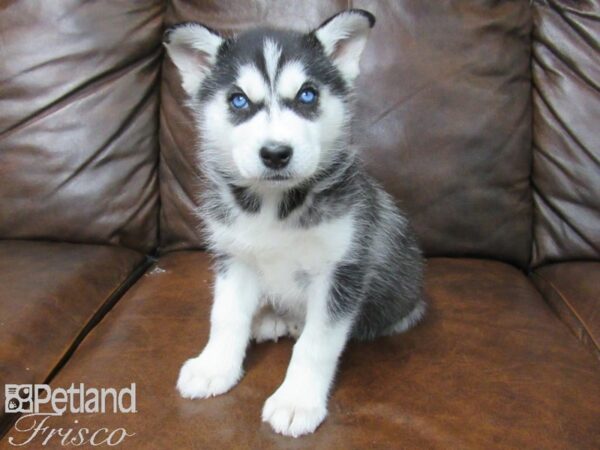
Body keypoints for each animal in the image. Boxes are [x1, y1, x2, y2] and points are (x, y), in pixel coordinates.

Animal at [164, 10, 424, 438]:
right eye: (238, 100)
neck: (274, 206)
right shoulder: (235, 258)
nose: (275, 153)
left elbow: (316, 345)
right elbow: (225, 316)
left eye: (307, 95)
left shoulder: (341, 271)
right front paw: (215, 366)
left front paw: (296, 400)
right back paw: (270, 319)